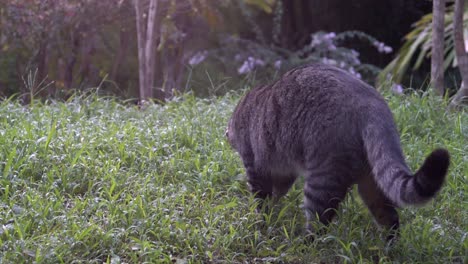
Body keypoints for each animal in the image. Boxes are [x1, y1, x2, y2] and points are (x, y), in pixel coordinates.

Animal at [227, 64, 450, 239]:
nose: (227, 134)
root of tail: (371, 103)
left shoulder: (255, 165)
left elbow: (261, 200)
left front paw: (261, 220)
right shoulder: (284, 171)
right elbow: (277, 192)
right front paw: (274, 209)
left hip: (324, 176)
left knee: (319, 223)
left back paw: (304, 243)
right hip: (370, 179)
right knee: (389, 217)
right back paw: (389, 249)